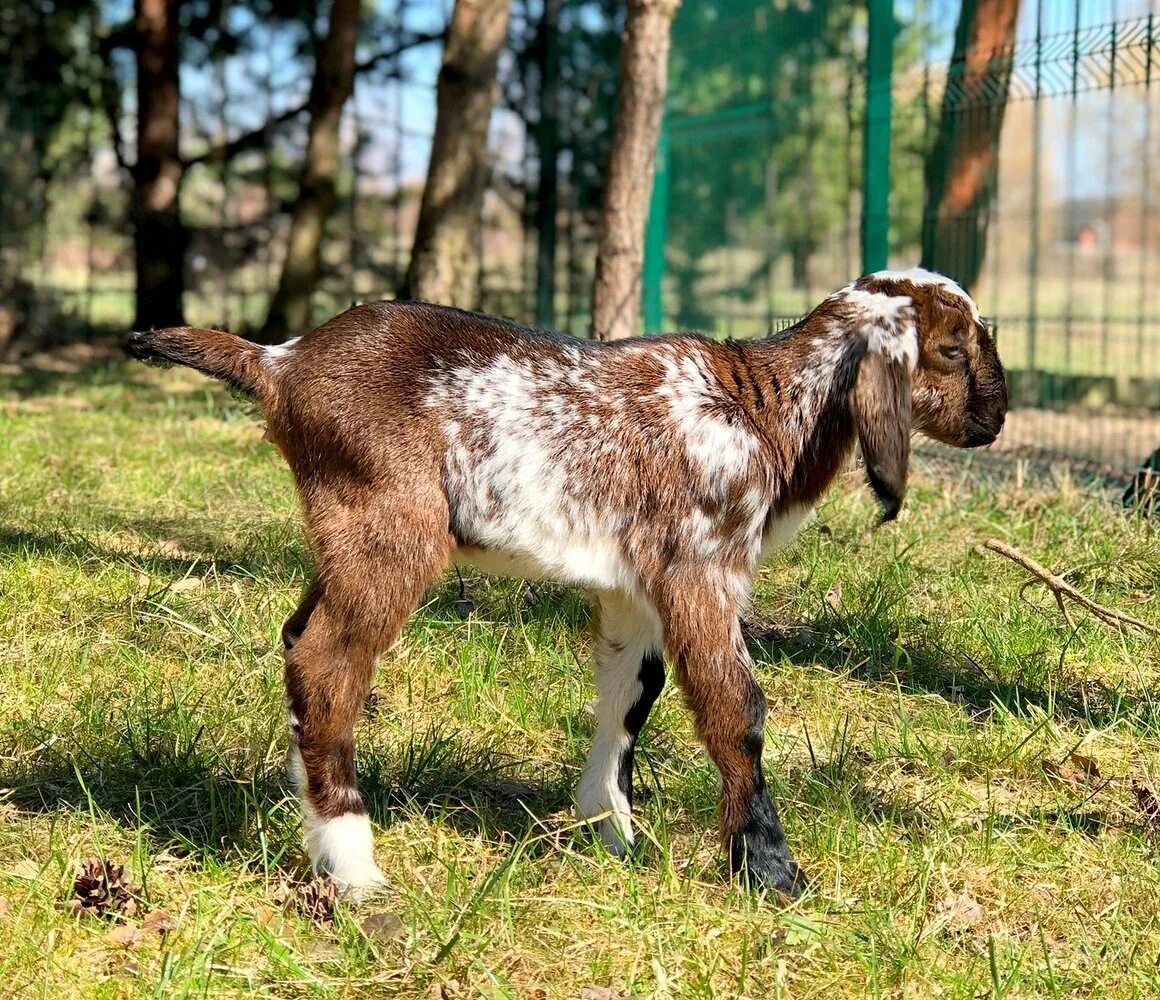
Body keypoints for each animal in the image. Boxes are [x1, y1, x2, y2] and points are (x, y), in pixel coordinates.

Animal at [129, 270, 1006, 904]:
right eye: (951, 351)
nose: (996, 417)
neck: (761, 409)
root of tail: (280, 362)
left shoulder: (636, 589)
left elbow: (630, 697)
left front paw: (612, 834)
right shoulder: (701, 570)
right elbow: (736, 711)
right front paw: (771, 874)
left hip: (341, 538)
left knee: (296, 640)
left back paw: (305, 805)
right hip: (388, 527)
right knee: (326, 663)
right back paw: (353, 864)